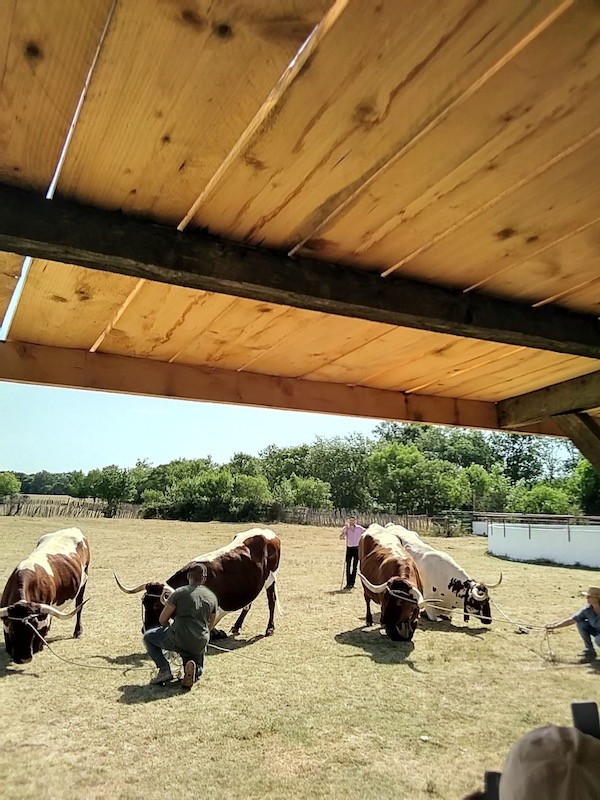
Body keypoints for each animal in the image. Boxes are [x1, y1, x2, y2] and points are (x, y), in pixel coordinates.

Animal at [0, 528, 90, 664]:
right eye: (12, 630)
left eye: (33, 631)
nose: (24, 658)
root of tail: (73, 529)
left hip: (84, 580)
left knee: (79, 604)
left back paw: (77, 631)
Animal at [116, 528, 282, 640]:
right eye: (144, 603)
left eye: (157, 605)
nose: (145, 629)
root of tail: (269, 533)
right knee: (248, 604)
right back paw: (236, 626)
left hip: (271, 578)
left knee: (271, 601)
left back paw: (270, 628)